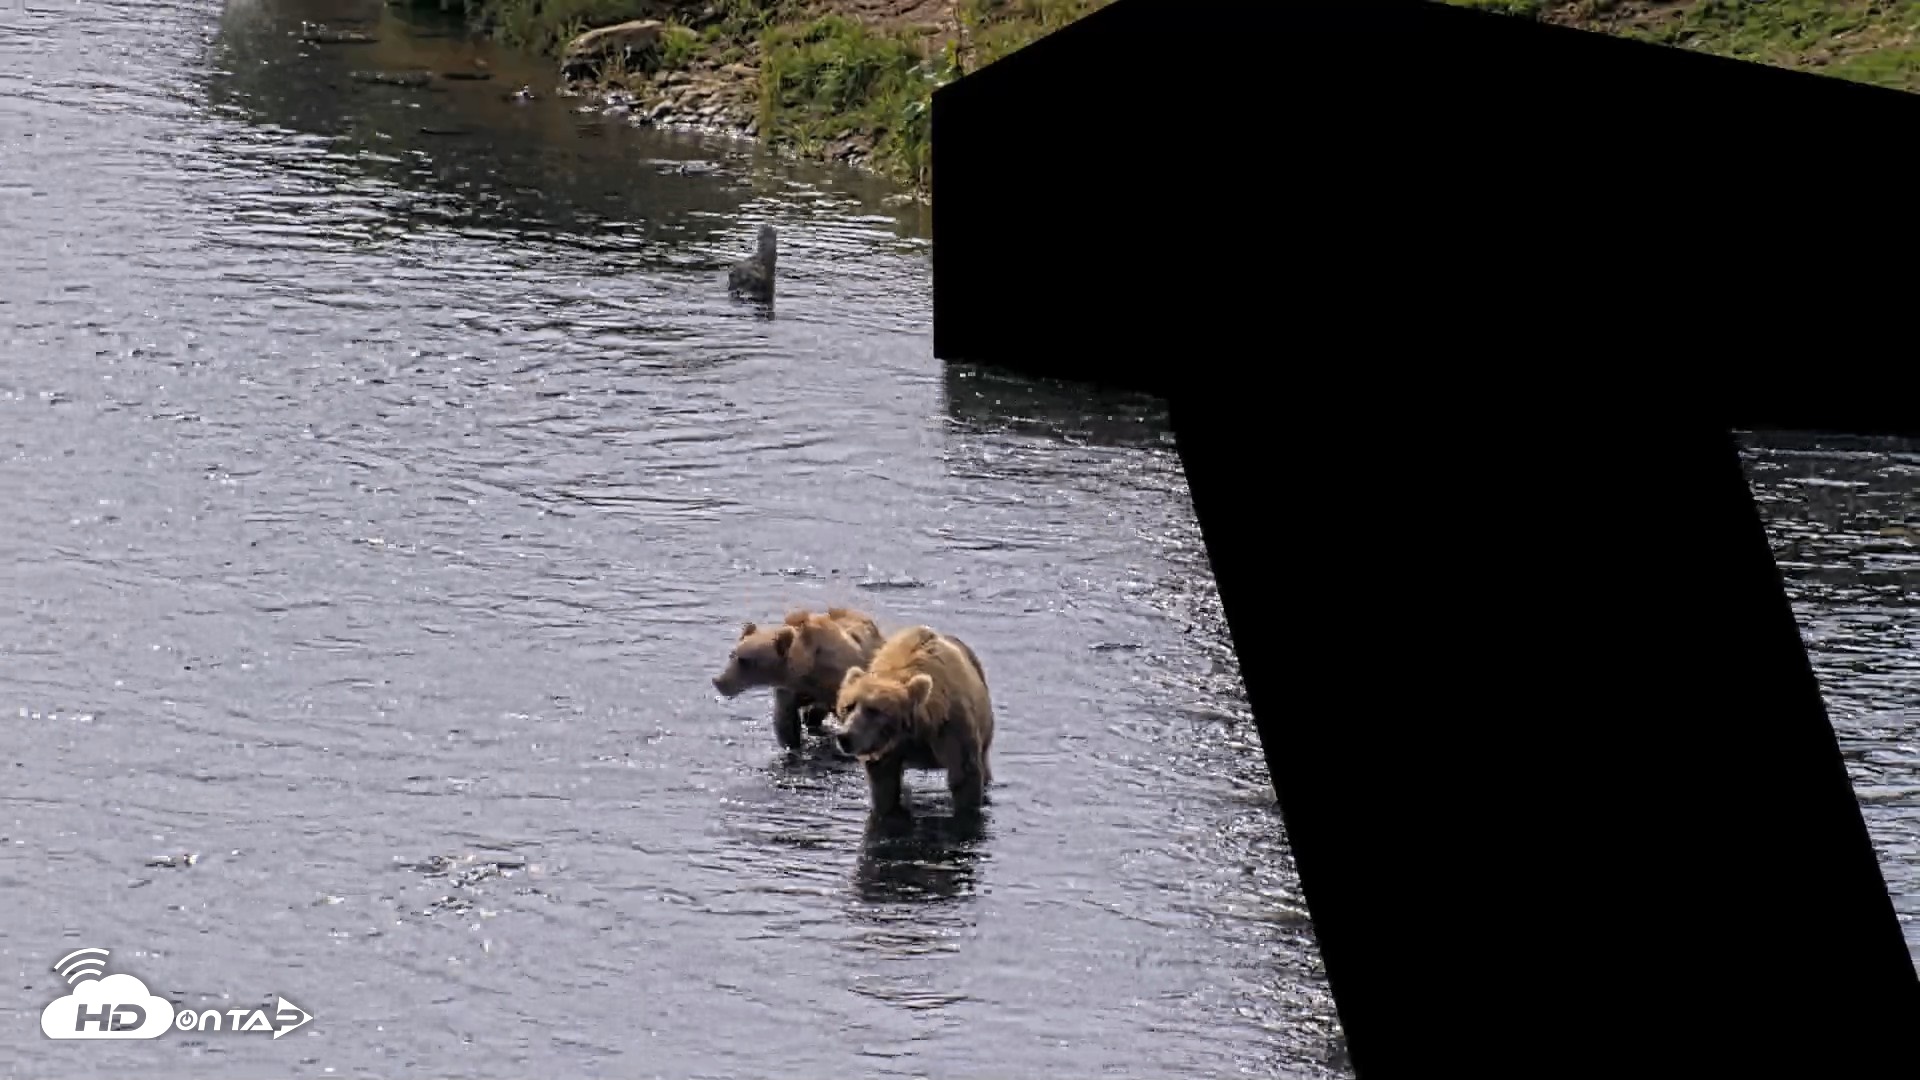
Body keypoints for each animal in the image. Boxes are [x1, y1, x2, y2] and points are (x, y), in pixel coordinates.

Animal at [828, 625, 995, 822]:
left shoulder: (951, 730)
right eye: (848, 707)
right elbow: (884, 788)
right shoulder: (886, 752)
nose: (845, 736)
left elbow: (964, 777)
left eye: (874, 710)